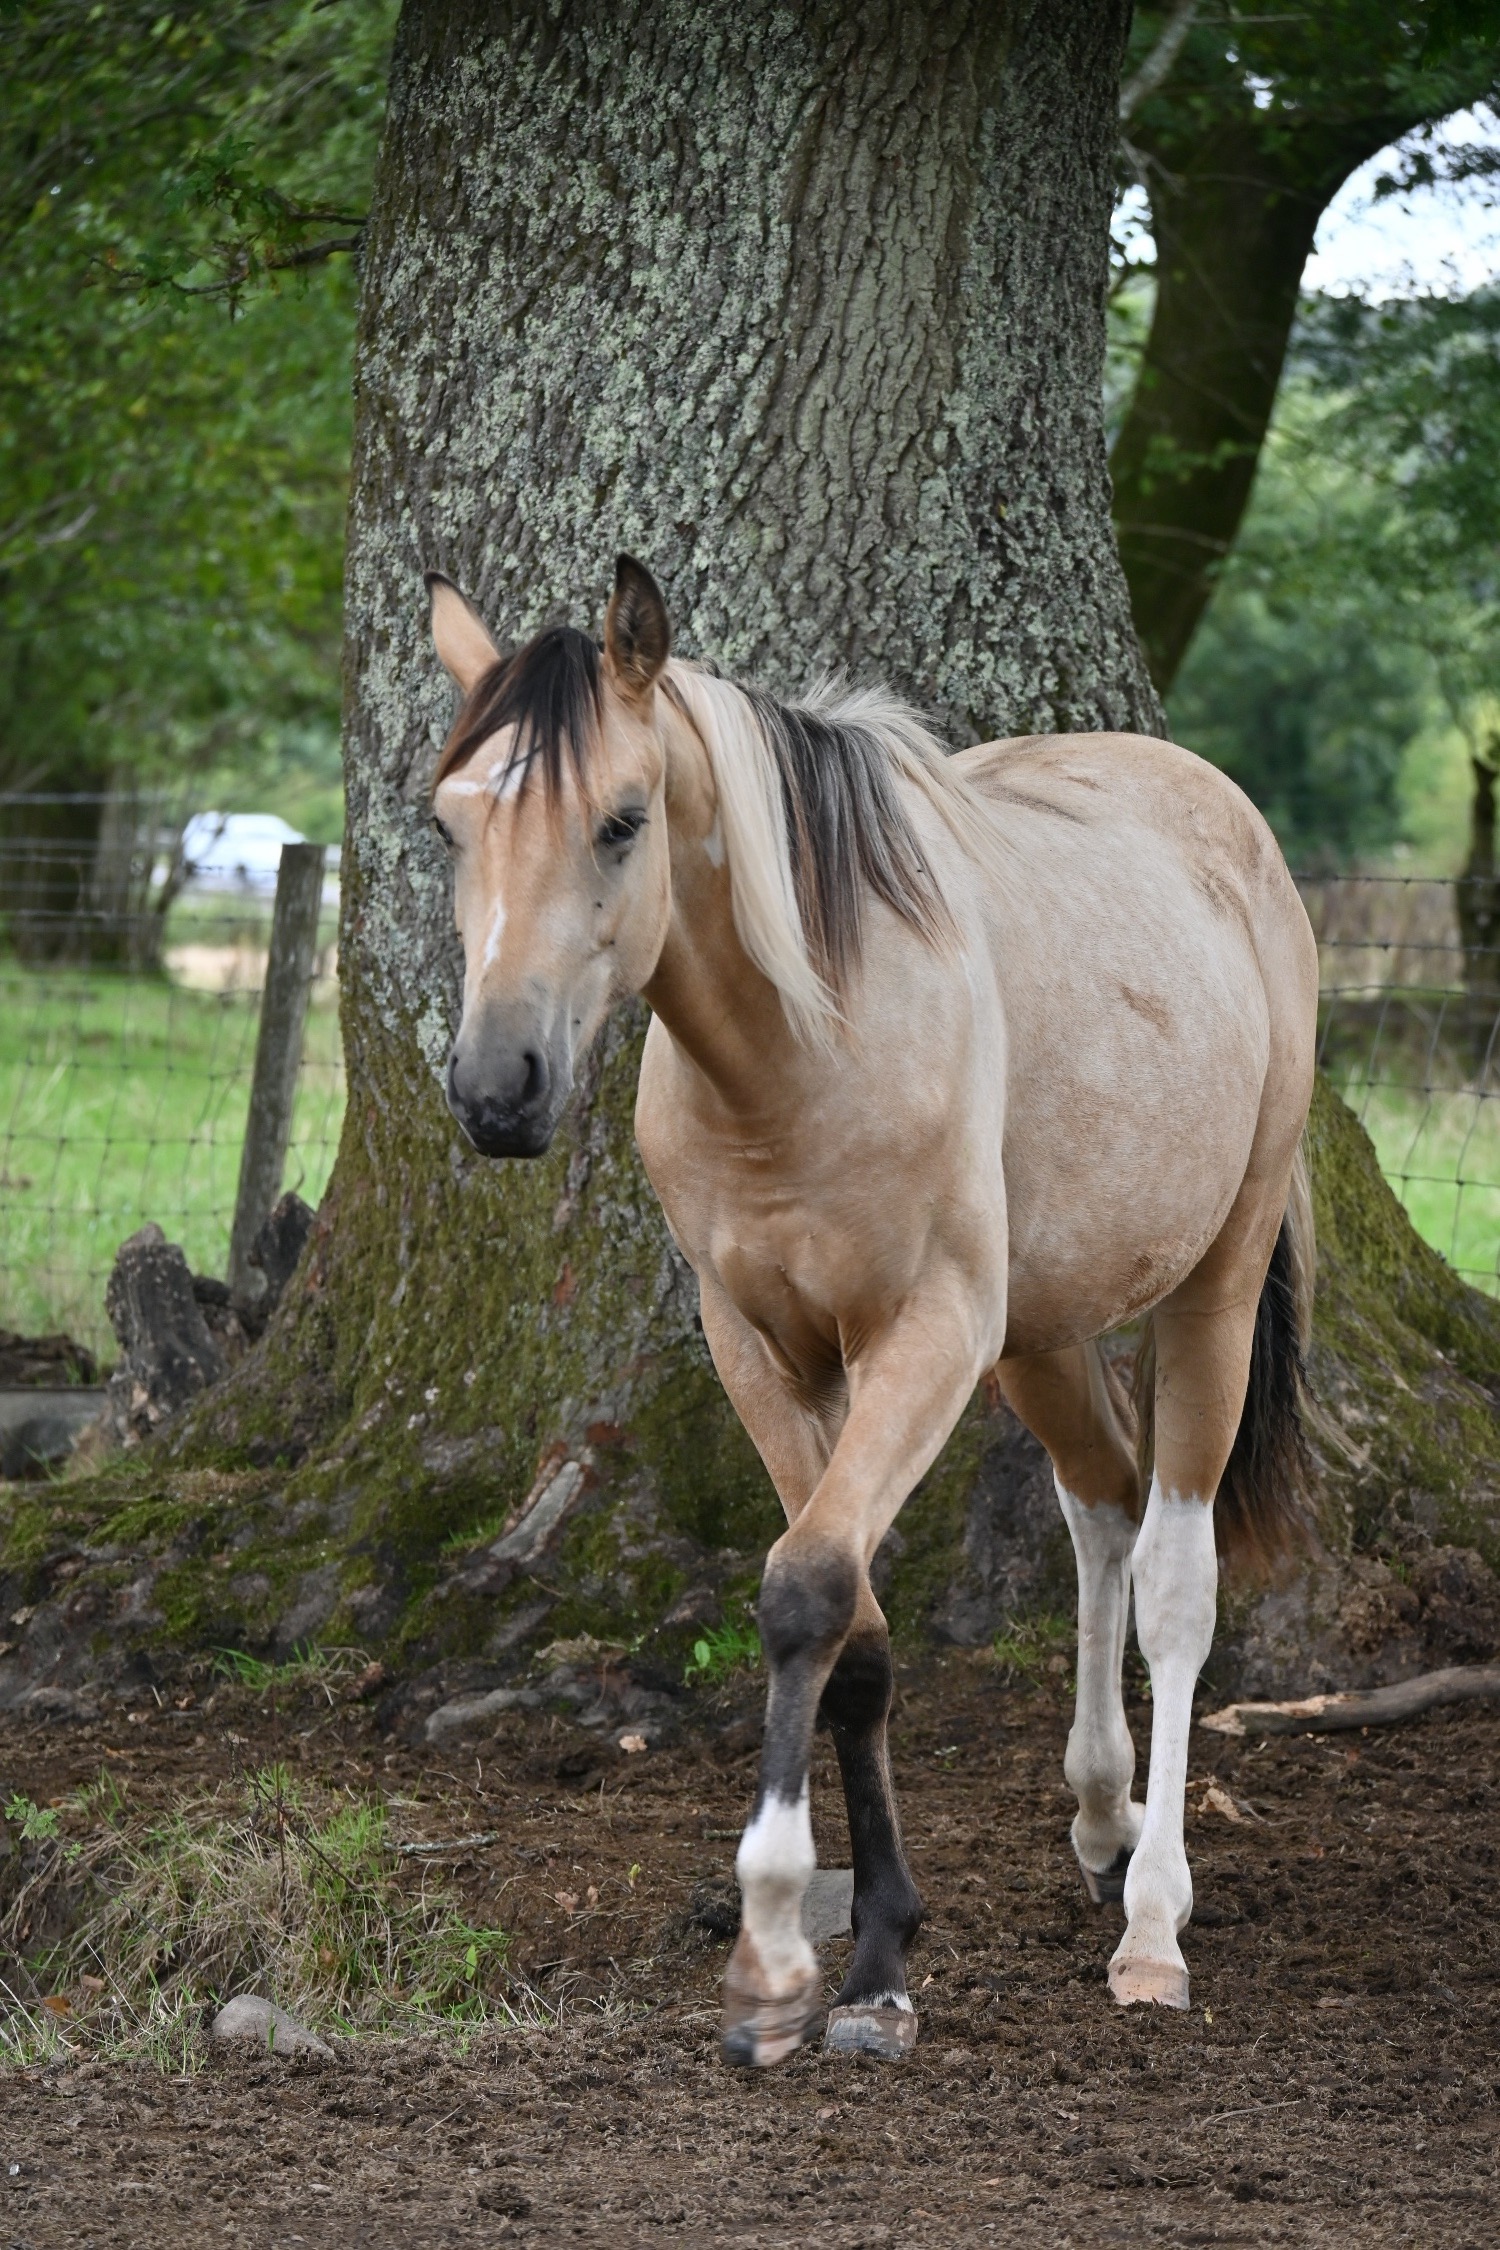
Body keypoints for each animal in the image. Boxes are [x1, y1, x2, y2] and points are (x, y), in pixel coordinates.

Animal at [424, 554, 1318, 2067]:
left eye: (620, 821)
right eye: (450, 821)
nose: (499, 1089)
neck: (806, 1053)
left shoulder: (927, 1338)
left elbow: (804, 1590)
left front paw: (780, 1948)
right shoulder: (764, 1350)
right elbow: (854, 1631)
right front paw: (879, 1947)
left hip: (1214, 1280)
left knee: (1175, 1583)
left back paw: (1152, 1921)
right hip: (1044, 1330)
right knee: (1101, 1509)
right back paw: (1100, 1813)